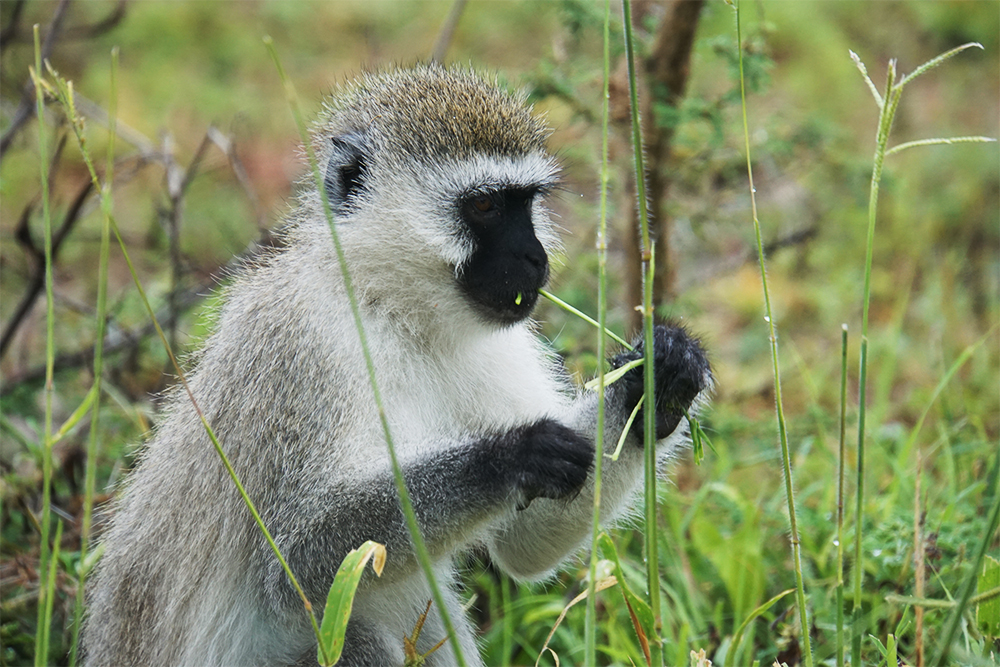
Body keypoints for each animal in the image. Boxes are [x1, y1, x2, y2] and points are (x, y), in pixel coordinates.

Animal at [86, 64, 712, 667]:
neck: (391, 309)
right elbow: (293, 562)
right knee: (354, 637)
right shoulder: (298, 344)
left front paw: (657, 380)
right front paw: (513, 454)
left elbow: (523, 542)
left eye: (527, 202)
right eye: (484, 206)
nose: (536, 258)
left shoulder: (500, 342)